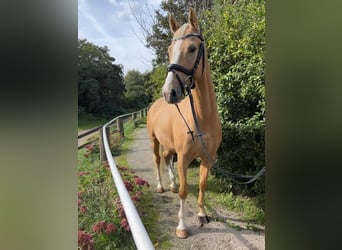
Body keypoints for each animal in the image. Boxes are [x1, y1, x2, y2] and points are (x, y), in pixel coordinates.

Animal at [146, 7, 222, 238]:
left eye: (192, 48)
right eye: (169, 50)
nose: (169, 92)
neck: (201, 120)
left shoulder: (207, 159)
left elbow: (202, 185)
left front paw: (201, 215)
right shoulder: (183, 158)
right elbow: (184, 191)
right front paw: (181, 227)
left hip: (169, 145)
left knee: (165, 157)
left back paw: (170, 183)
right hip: (154, 140)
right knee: (157, 159)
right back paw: (161, 186)